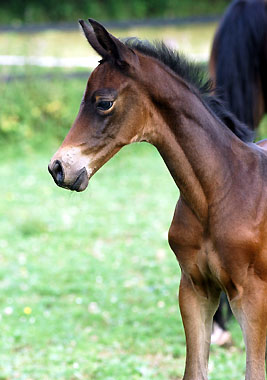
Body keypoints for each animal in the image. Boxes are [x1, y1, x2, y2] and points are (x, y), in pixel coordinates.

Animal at [49, 20, 267, 380]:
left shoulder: (252, 297)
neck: (220, 189)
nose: (58, 167)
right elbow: (193, 371)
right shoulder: (195, 290)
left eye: (103, 102)